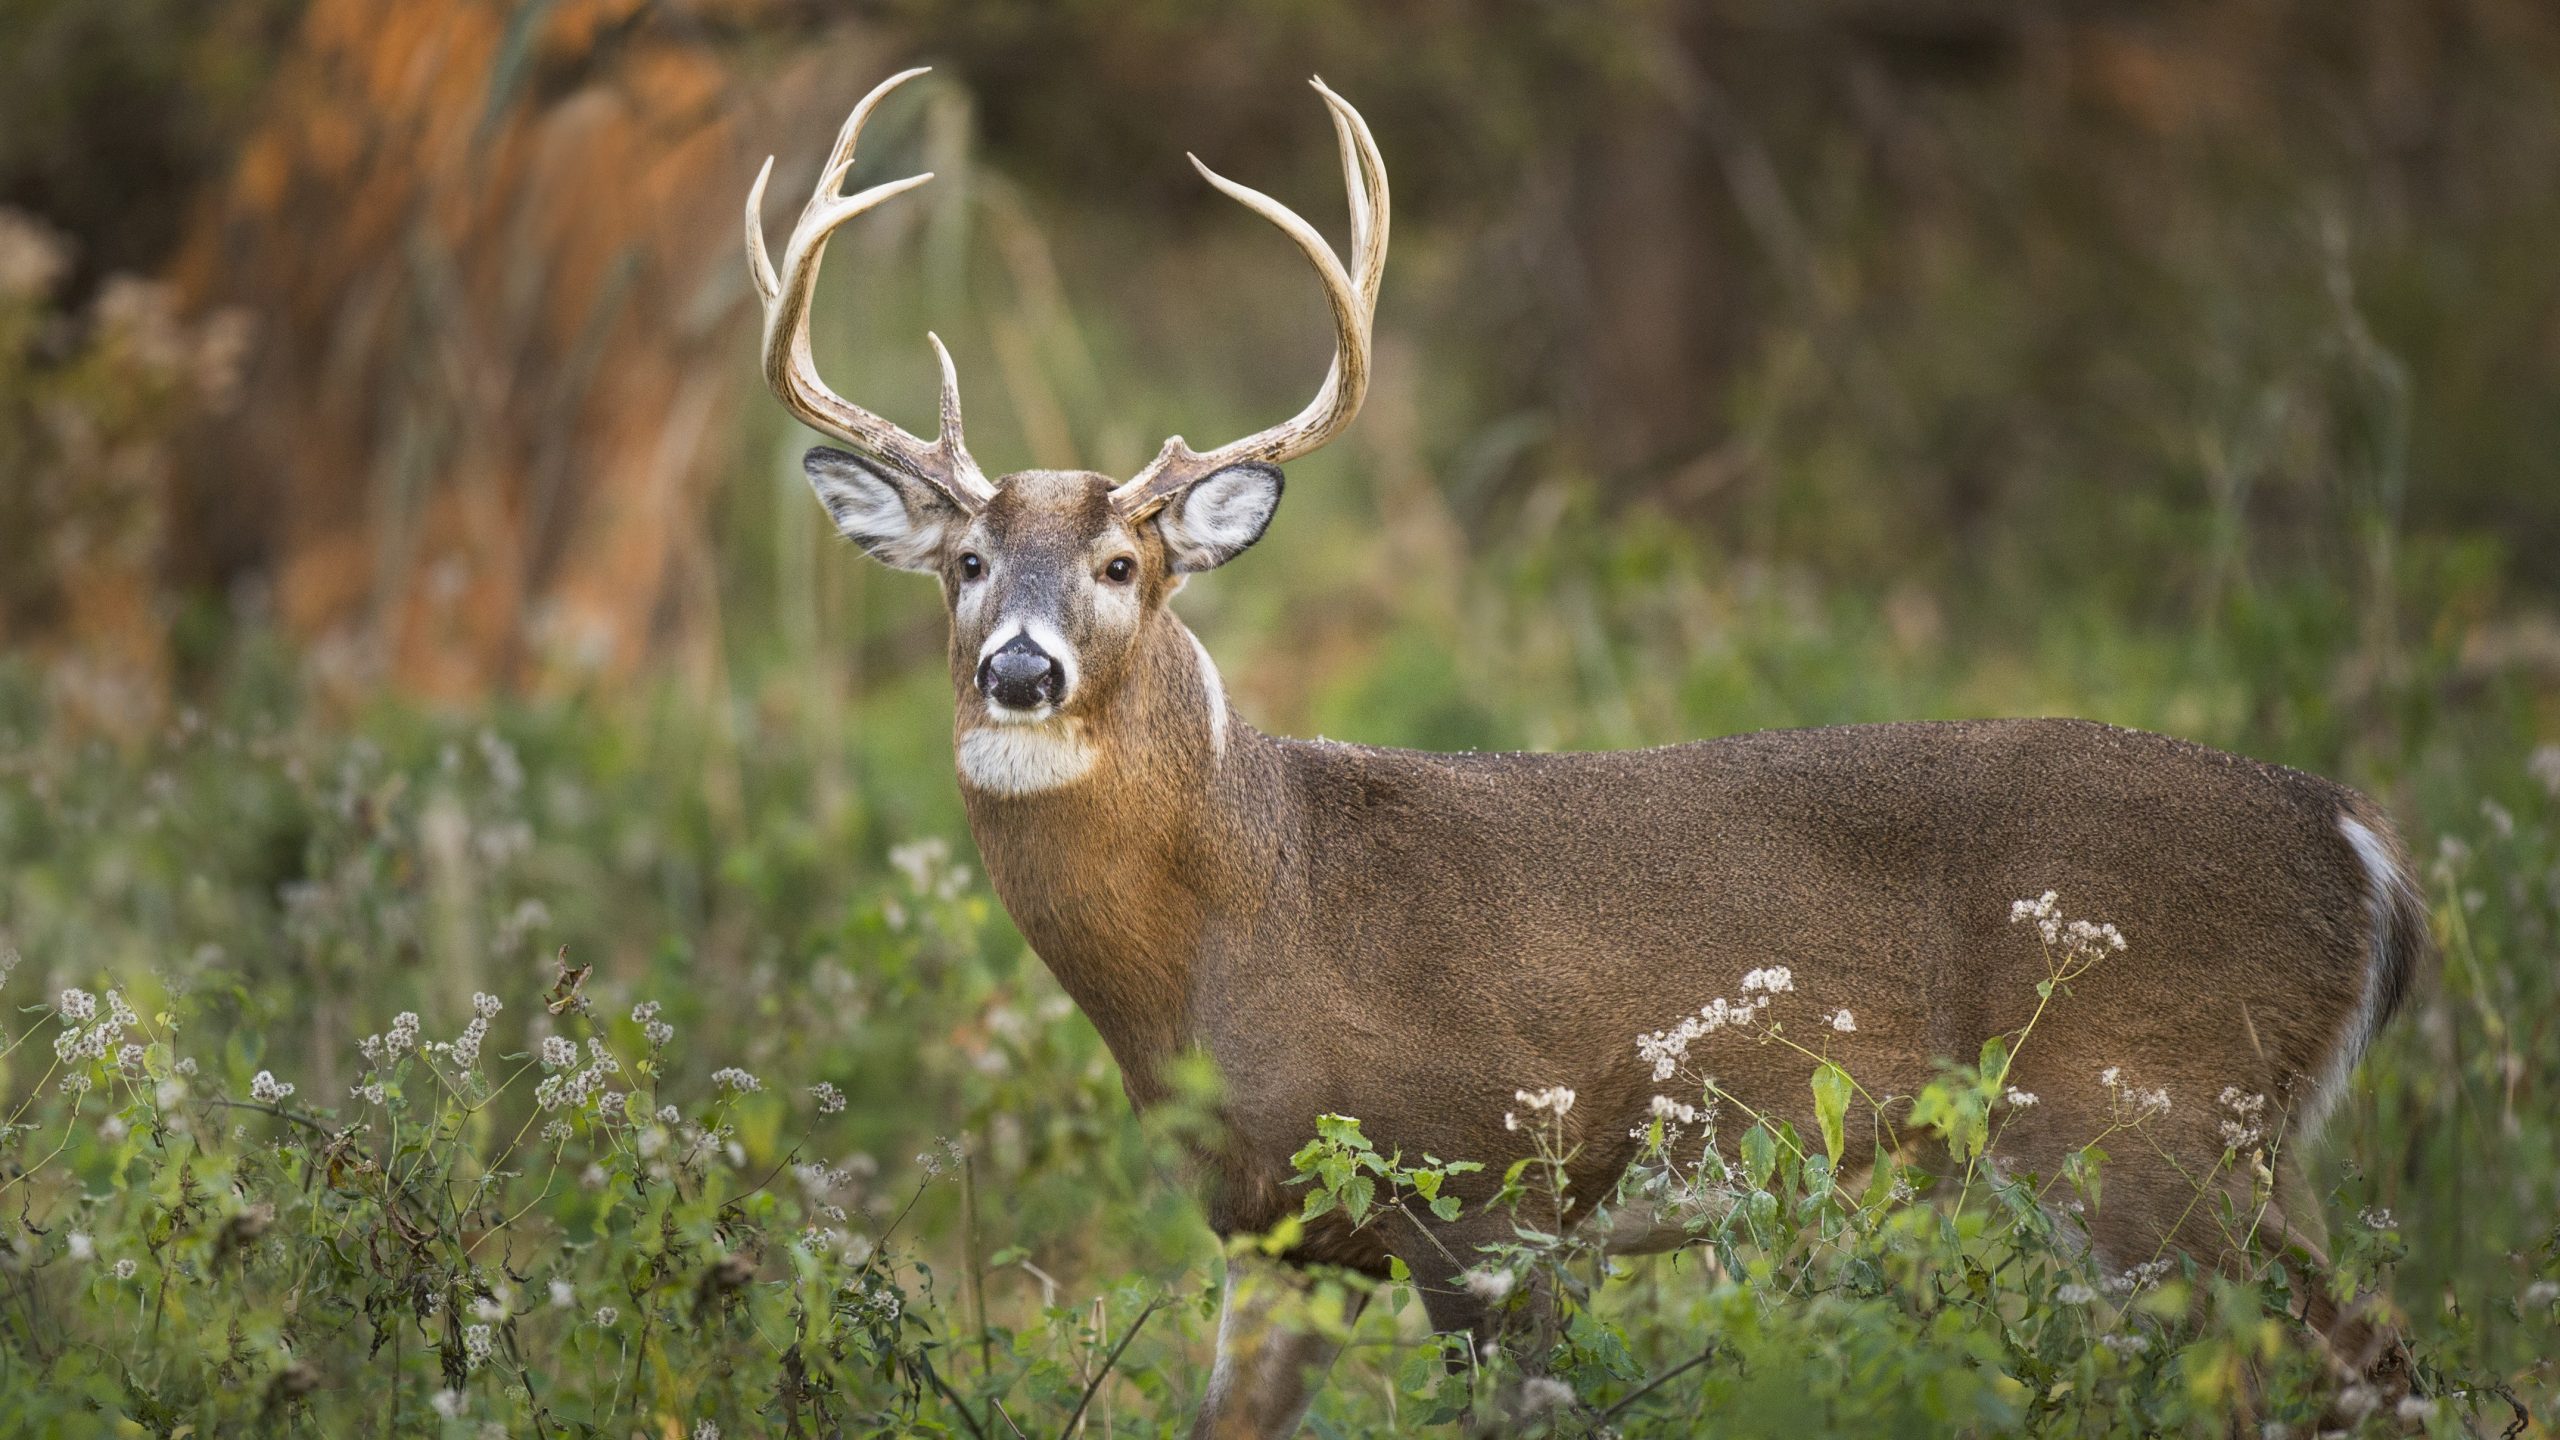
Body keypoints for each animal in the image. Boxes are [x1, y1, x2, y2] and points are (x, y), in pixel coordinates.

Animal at [746, 68, 2430, 1438]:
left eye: (1123, 565)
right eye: (966, 562)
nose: (1021, 669)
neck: (1246, 913)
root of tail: (2361, 842)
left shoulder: (1495, 1187)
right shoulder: (1272, 1235)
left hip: (2150, 1120)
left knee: (2346, 1363)